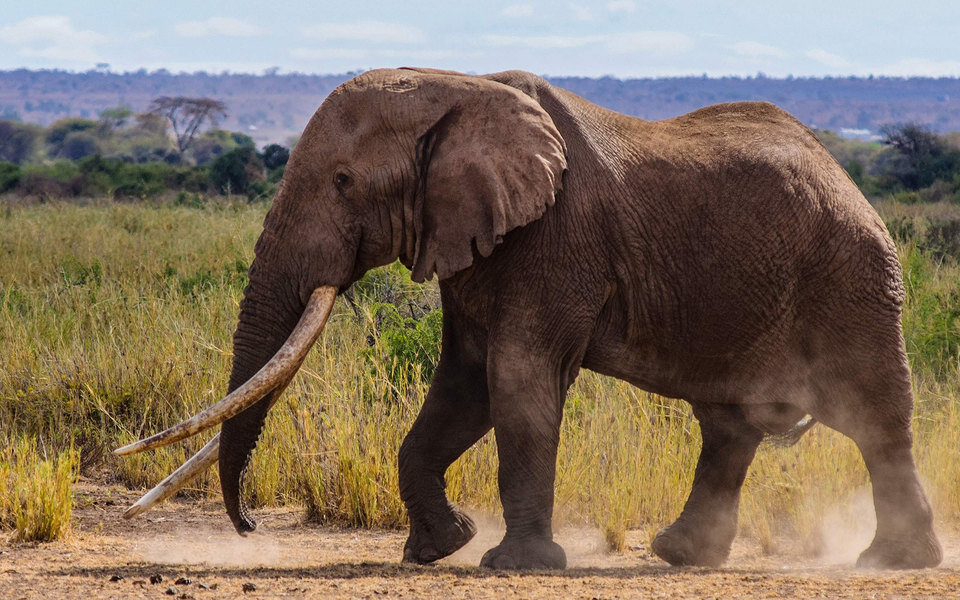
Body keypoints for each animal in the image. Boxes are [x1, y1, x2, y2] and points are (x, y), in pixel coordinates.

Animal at [114, 68, 944, 568]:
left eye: (344, 181)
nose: (251, 528)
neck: (453, 88)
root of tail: (850, 180)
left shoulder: (555, 240)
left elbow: (517, 382)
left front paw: (510, 564)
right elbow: (464, 387)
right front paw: (439, 549)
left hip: (853, 281)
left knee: (875, 418)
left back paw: (892, 563)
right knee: (729, 425)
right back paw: (682, 556)